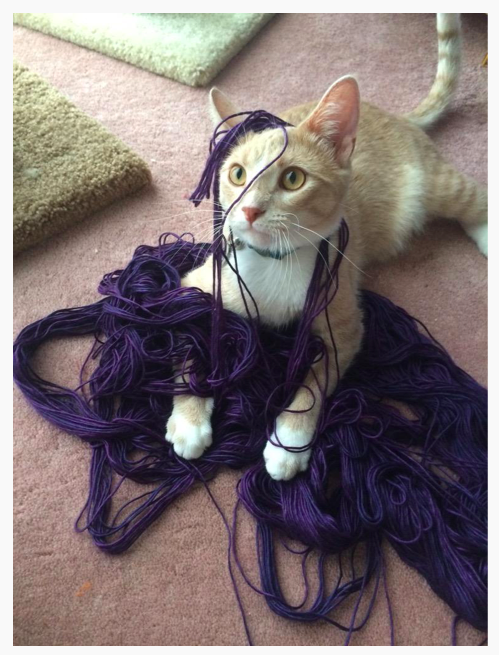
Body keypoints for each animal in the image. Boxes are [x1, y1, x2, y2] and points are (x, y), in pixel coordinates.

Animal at [165, 11, 488, 482]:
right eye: (237, 174)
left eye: (292, 179)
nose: (249, 210)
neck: (275, 263)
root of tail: (394, 116)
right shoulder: (199, 283)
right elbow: (190, 339)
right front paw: (189, 418)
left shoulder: (345, 326)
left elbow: (315, 382)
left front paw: (289, 440)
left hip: (433, 186)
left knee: (475, 197)